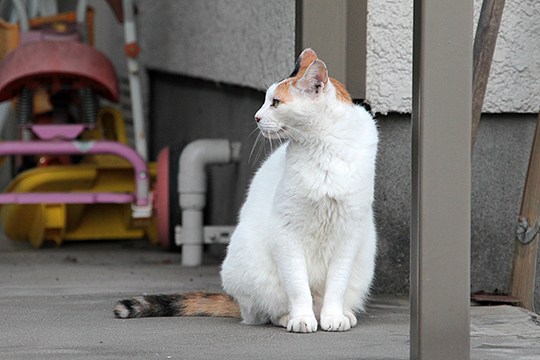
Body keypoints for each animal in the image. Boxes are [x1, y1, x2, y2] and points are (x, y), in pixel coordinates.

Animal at [113, 47, 380, 332]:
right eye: (265, 100)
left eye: (275, 102)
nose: (257, 117)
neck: (323, 145)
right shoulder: (287, 232)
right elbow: (297, 285)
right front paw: (301, 318)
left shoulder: (348, 233)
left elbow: (336, 285)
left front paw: (333, 316)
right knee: (263, 311)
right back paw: (288, 317)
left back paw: (342, 314)